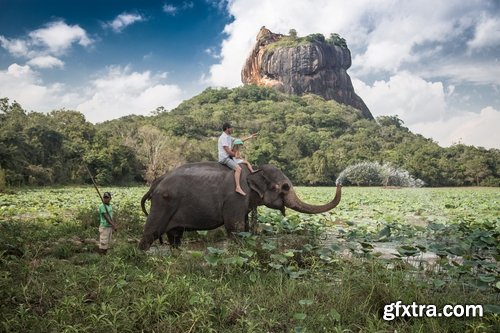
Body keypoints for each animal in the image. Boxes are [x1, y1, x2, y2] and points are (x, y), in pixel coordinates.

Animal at [139, 161, 342, 249]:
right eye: (283, 187)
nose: (339, 182)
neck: (254, 171)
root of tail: (156, 183)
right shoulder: (235, 198)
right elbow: (234, 228)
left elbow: (243, 227)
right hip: (162, 203)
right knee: (151, 233)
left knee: (175, 237)